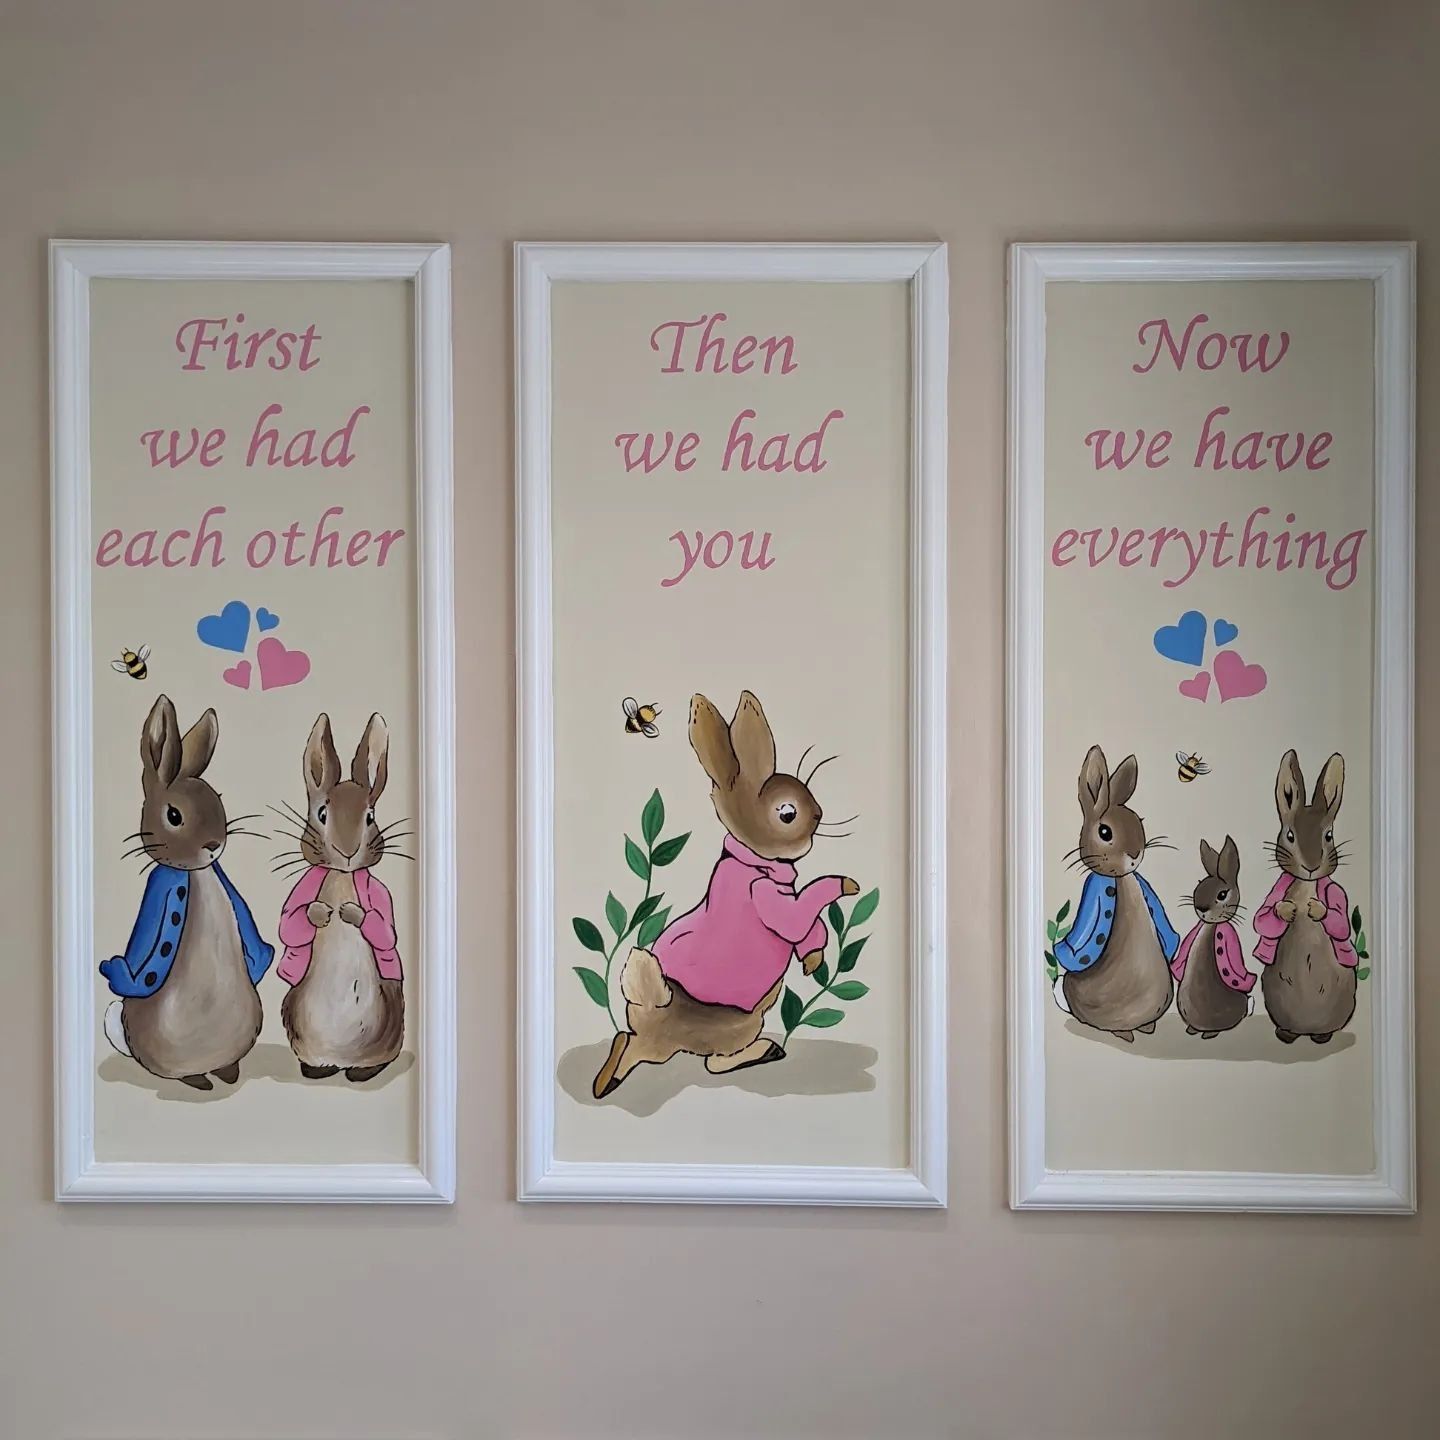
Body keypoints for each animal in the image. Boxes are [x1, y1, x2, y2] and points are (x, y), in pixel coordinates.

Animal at [100, 695, 273, 1090]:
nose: (213, 845)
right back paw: (199, 1079)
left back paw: (227, 1071)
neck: (195, 874)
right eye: (174, 816)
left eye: (218, 800)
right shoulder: (159, 891)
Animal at [275, 713, 405, 1082]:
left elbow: (386, 931)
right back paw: (317, 1070)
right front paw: (320, 912)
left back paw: (361, 1072)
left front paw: (351, 912)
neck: (342, 877)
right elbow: (288, 924)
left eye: (370, 817)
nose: (347, 852)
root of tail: (342, 1057)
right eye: (322, 814)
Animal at [592, 690, 858, 1099]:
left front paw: (813, 961)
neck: (755, 859)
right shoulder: (771, 898)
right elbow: (804, 911)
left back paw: (609, 1072)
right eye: (787, 813)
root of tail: (655, 1020)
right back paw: (766, 1051)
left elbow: (809, 933)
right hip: (741, 1024)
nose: (818, 814)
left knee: (633, 1044)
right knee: (714, 1063)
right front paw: (845, 884)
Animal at [1052, 745, 1178, 1042]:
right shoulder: (1094, 894)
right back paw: (1125, 1032)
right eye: (1105, 832)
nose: (1135, 855)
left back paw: (1145, 1027)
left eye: (1139, 821)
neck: (1121, 880)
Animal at [1252, 750, 1357, 1044]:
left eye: (1329, 835)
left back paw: (1321, 1036)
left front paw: (1315, 908)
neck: (1307, 885)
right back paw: (1286, 1034)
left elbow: (1341, 923)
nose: (1311, 867)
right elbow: (1262, 918)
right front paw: (1287, 909)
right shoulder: (1273, 894)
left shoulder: (1338, 896)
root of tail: (1307, 1028)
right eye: (1290, 835)